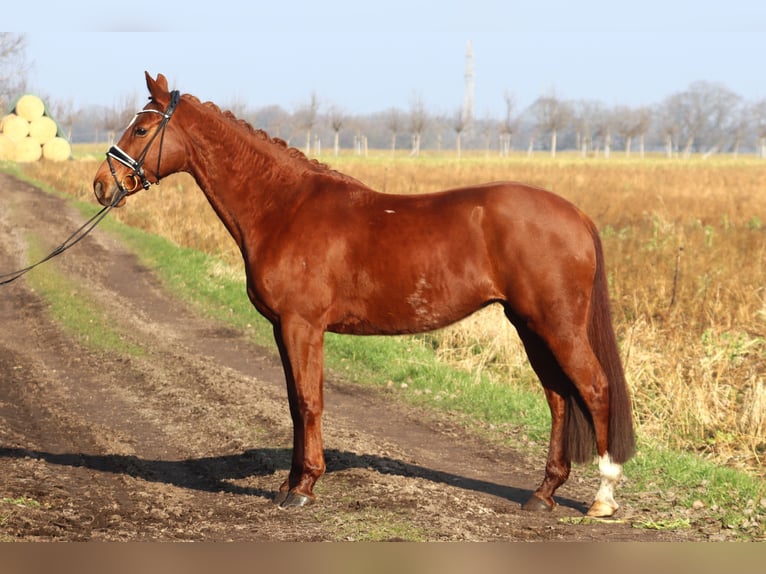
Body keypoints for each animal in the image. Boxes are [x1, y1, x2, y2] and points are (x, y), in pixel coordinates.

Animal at [94, 74, 636, 520]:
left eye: (142, 129)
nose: (102, 184)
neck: (283, 207)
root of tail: (576, 215)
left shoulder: (302, 325)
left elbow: (308, 401)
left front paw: (303, 489)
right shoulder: (283, 328)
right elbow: (293, 402)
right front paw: (293, 482)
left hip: (556, 324)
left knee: (594, 388)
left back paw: (602, 499)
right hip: (529, 326)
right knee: (559, 397)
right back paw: (542, 494)